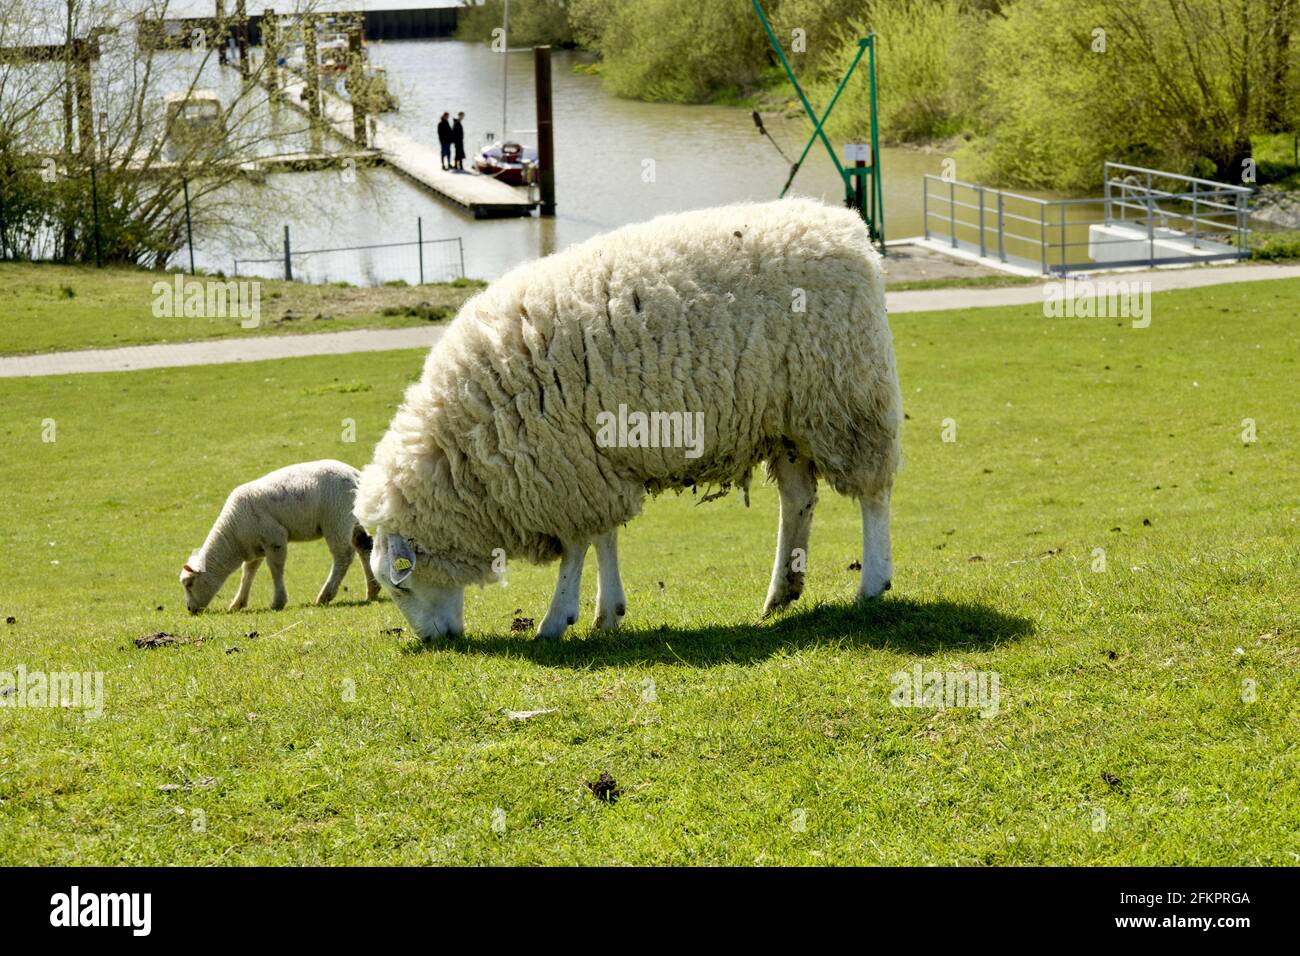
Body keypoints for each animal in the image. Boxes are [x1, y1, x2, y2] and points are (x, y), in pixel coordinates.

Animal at [179, 460, 381, 613]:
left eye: (189, 584)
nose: (190, 609)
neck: (233, 537)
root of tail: (355, 475)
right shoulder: (255, 546)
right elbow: (248, 572)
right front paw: (238, 603)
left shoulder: (274, 538)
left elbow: (275, 568)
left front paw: (278, 602)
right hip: (352, 520)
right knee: (364, 545)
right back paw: (372, 589)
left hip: (336, 518)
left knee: (343, 556)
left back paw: (325, 596)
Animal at [355, 197, 902, 641]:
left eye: (400, 589)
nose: (434, 642)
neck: (466, 449)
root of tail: (848, 226)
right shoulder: (589, 464)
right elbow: (603, 538)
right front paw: (607, 612)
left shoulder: (565, 465)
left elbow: (578, 546)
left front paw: (559, 618)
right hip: (787, 420)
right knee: (798, 499)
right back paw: (781, 591)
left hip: (848, 397)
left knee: (873, 494)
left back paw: (872, 582)